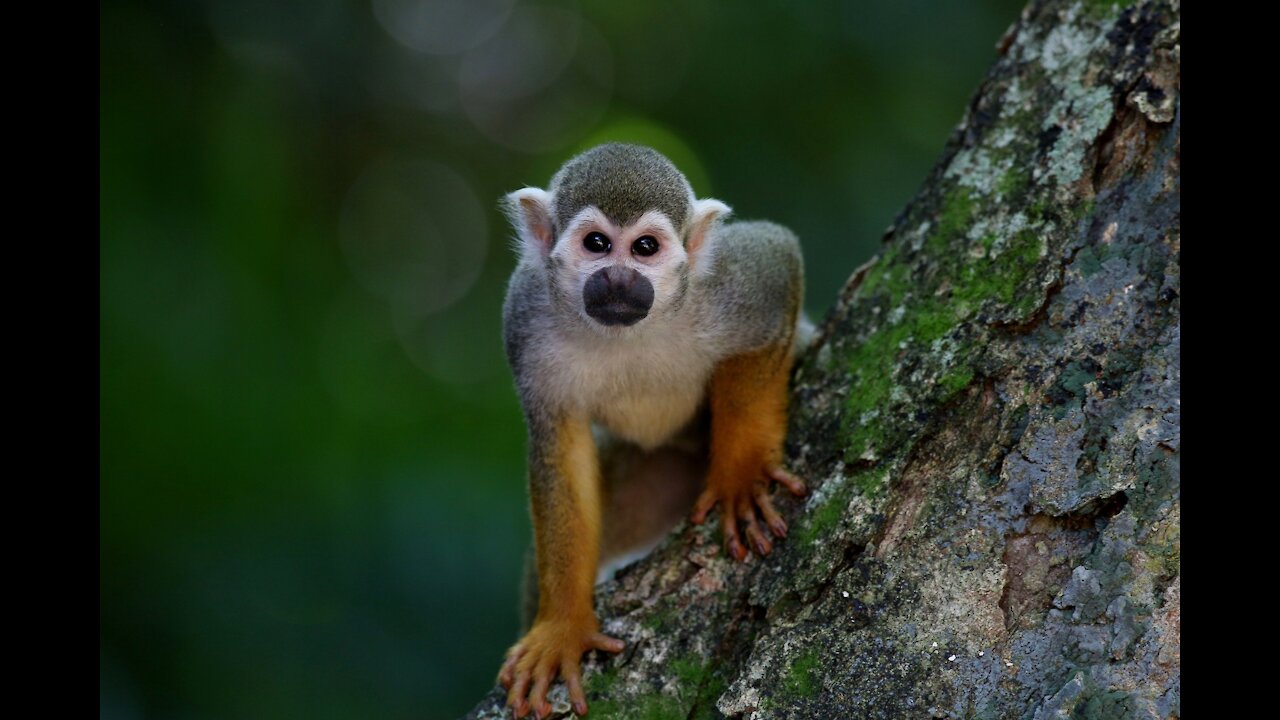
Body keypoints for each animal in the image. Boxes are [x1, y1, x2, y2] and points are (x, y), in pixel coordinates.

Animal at [496, 142, 803, 712]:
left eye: (645, 247)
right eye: (597, 244)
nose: (619, 279)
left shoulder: (727, 283)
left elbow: (779, 260)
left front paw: (741, 474)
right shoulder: (524, 317)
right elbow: (559, 449)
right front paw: (563, 627)